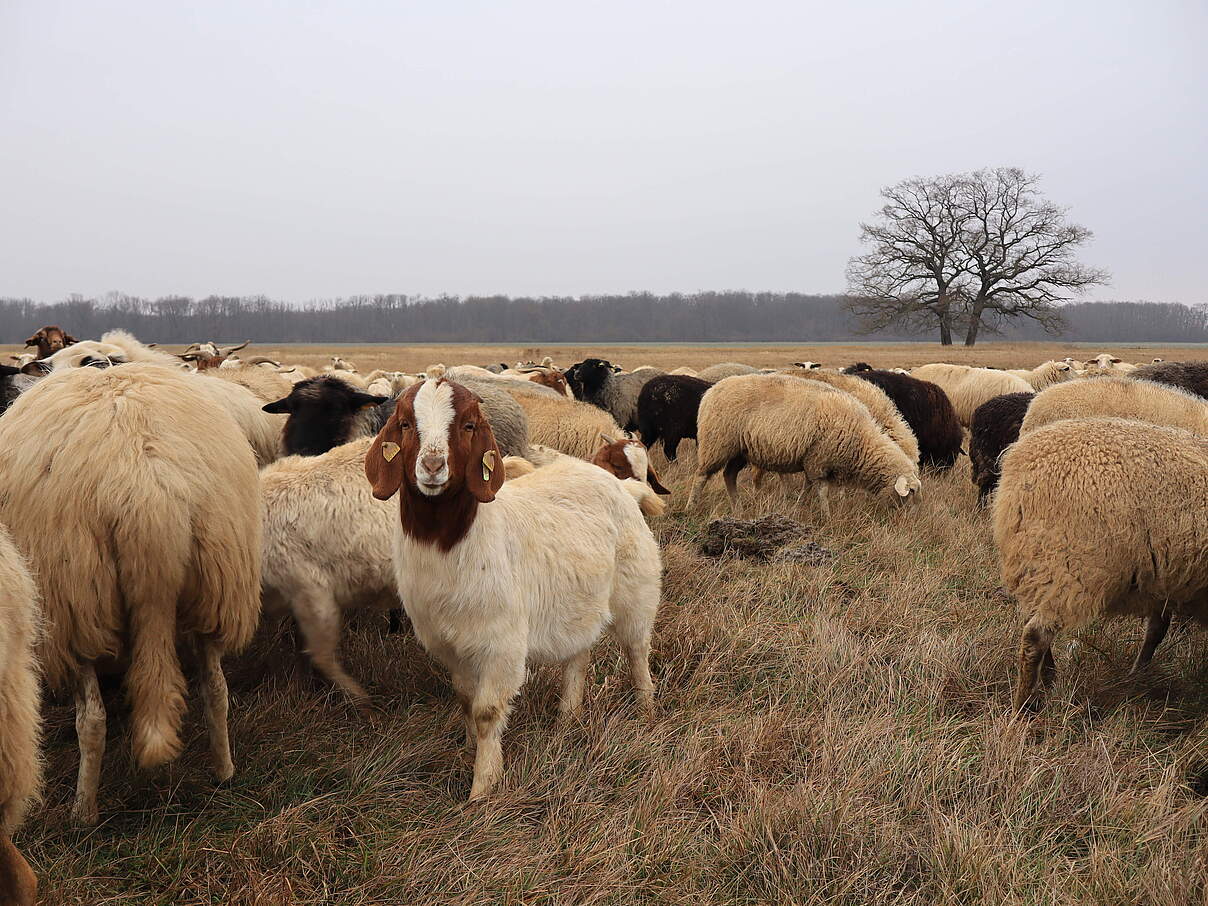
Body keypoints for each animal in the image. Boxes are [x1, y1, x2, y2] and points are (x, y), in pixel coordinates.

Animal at [0, 364, 261, 824]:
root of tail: (147, 490)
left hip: (76, 599)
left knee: (92, 719)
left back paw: (82, 812)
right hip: (219, 583)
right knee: (216, 687)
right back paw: (224, 771)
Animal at [365, 379, 663, 799]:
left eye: (469, 425)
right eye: (405, 424)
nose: (433, 465)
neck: (452, 543)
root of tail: (623, 487)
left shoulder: (501, 647)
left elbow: (487, 712)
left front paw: (483, 787)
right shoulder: (451, 646)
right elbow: (465, 700)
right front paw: (469, 749)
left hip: (636, 595)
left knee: (637, 652)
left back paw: (645, 711)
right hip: (579, 602)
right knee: (579, 655)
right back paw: (567, 717)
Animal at [687, 374, 921, 518]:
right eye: (909, 494)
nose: (909, 520)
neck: (862, 440)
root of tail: (710, 391)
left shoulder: (811, 460)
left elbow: (808, 488)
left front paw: (799, 505)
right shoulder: (819, 460)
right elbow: (822, 490)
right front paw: (827, 516)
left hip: (740, 451)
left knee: (729, 475)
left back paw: (738, 508)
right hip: (717, 443)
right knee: (701, 476)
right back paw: (692, 506)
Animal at [994, 418, 1208, 711]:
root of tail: (1018, 467)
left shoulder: (1165, 583)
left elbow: (1156, 630)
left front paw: (1137, 675)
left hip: (1037, 564)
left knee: (1031, 619)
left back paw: (1049, 680)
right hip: (1069, 564)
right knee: (1035, 636)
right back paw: (1023, 707)